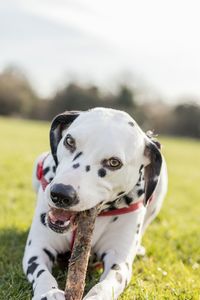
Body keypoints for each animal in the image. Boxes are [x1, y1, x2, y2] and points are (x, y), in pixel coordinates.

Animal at [23, 108, 167, 300]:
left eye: (114, 162)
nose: (61, 194)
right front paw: (49, 293)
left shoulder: (118, 261)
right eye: (69, 141)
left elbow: (107, 285)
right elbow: (43, 274)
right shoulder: (37, 249)